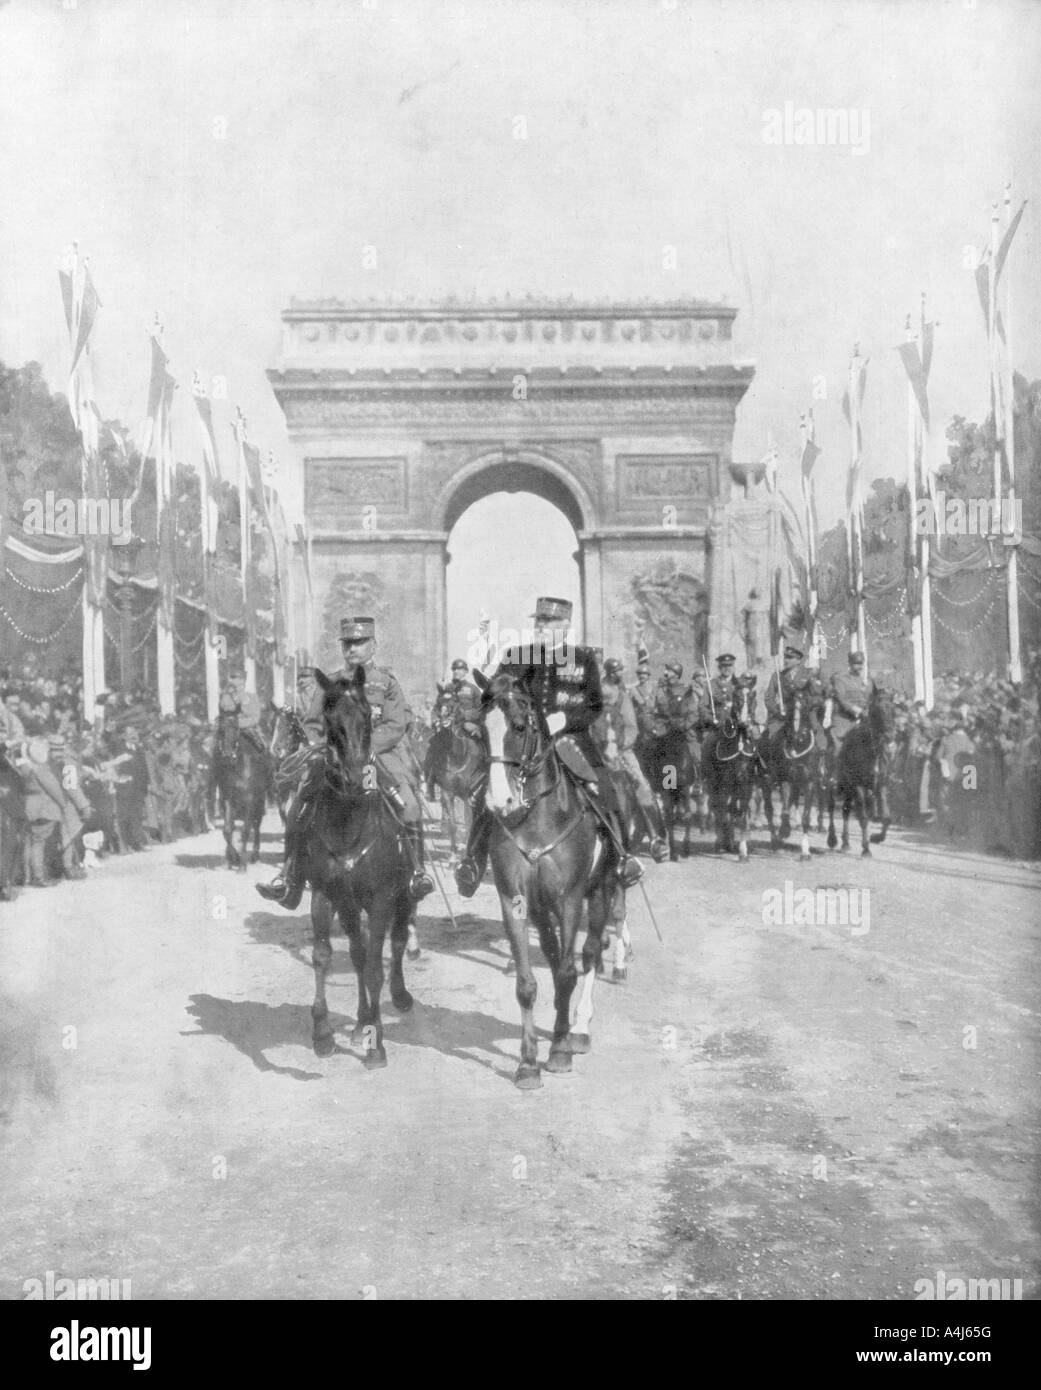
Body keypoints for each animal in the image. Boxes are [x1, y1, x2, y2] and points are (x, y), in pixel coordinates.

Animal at [208, 717, 268, 867]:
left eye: (236, 729)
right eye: (221, 730)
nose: (227, 756)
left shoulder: (250, 800)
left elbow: (245, 830)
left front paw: (242, 865)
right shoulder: (228, 799)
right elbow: (227, 830)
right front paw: (234, 857)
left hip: (260, 801)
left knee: (256, 825)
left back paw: (254, 855)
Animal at [304, 667, 414, 1067]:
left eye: (367, 716)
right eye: (328, 720)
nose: (354, 777)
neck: (348, 821)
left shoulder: (382, 898)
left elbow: (375, 968)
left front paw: (376, 1045)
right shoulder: (325, 894)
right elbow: (324, 957)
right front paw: (322, 1034)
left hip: (404, 898)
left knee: (396, 942)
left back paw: (399, 998)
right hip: (350, 906)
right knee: (357, 951)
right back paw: (360, 1022)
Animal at [475, 669, 622, 1084]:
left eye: (520, 726)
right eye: (479, 729)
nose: (499, 801)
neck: (536, 818)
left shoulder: (570, 899)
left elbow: (571, 971)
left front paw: (558, 1051)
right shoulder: (515, 900)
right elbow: (528, 983)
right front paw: (528, 1063)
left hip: (602, 890)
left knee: (588, 954)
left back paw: (579, 1029)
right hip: (543, 910)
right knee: (557, 958)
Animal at [697, 681, 756, 861]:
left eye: (752, 697)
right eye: (736, 697)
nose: (744, 724)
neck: (739, 745)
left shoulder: (746, 785)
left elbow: (741, 814)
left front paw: (743, 851)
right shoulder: (724, 784)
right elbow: (722, 811)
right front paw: (722, 843)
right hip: (712, 782)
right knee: (717, 807)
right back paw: (721, 841)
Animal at [828, 683, 895, 856]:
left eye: (894, 709)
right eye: (877, 709)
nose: (889, 736)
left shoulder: (880, 785)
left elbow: (886, 817)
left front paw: (876, 837)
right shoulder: (858, 786)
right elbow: (863, 817)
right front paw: (866, 849)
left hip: (849, 791)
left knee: (845, 810)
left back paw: (845, 843)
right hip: (834, 786)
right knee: (831, 808)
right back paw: (832, 839)